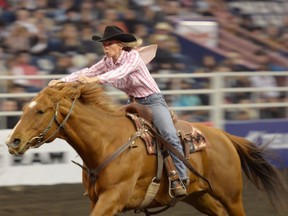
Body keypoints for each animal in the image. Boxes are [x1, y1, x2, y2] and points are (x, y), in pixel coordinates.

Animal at [5, 83, 288, 216]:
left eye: (40, 110)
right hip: (200, 196)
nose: (13, 142)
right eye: (24, 108)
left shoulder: (113, 198)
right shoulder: (100, 200)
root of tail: (226, 137)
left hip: (231, 195)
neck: (105, 141)